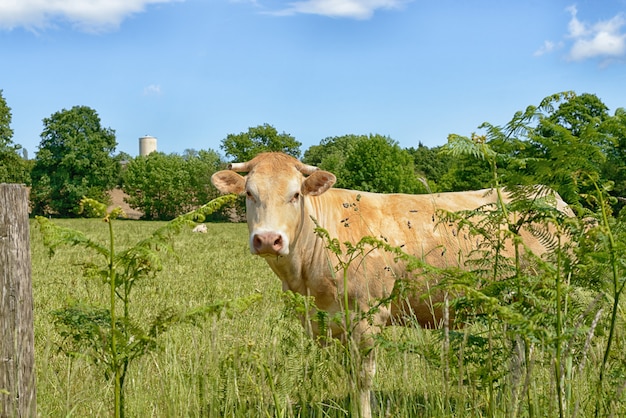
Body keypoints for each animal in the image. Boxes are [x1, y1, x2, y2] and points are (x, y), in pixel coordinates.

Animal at [211, 152, 572, 416]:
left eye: (295, 194)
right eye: (249, 194)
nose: (268, 239)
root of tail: (552, 196)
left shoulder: (368, 317)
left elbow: (362, 379)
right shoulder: (321, 320)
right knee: (520, 358)